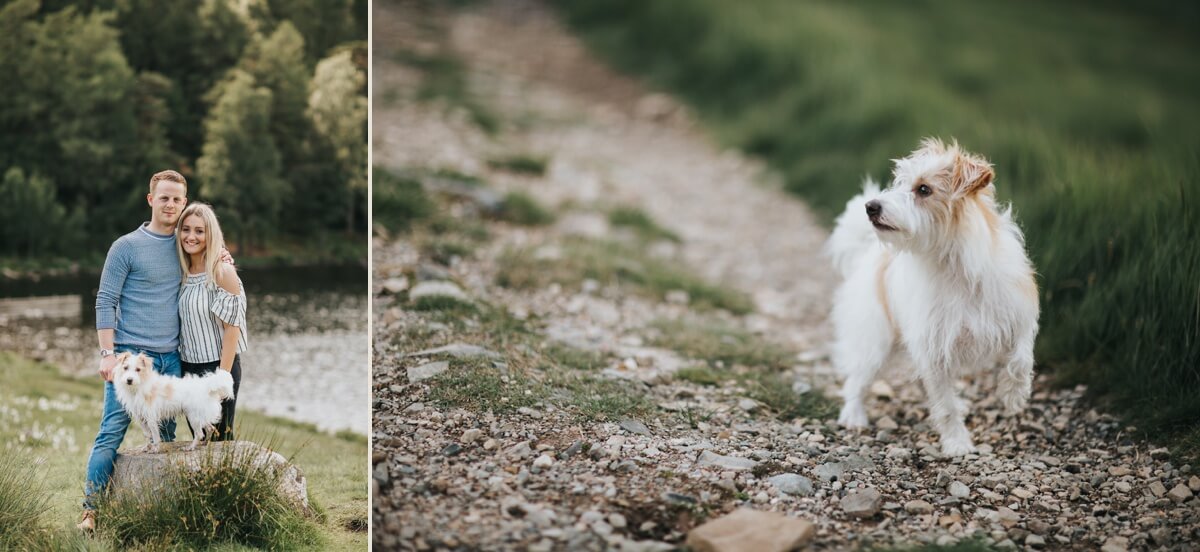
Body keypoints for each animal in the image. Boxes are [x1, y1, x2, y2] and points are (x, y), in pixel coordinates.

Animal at [825, 139, 1041, 456]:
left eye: (924, 189)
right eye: (899, 182)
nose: (871, 206)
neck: (953, 266)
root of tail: (869, 254)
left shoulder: (1020, 316)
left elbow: (1022, 359)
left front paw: (1014, 395)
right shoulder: (933, 350)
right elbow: (945, 405)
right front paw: (957, 443)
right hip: (873, 342)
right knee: (857, 380)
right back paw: (853, 415)